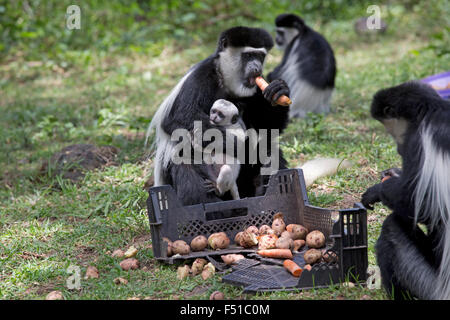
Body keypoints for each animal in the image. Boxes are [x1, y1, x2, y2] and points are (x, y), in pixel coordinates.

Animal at [362, 80, 450, 300]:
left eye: (389, 130)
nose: (397, 149)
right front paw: (393, 173)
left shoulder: (418, 142)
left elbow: (421, 204)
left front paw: (378, 189)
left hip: (428, 283)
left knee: (391, 228)